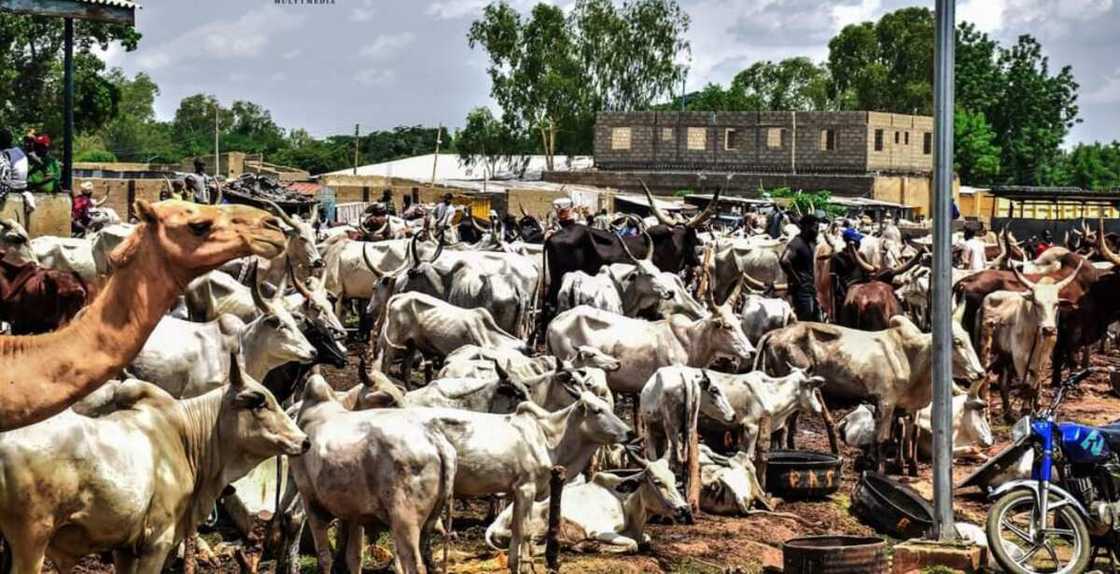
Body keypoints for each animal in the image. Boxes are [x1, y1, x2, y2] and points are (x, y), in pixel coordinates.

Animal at [0, 358, 306, 574]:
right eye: (261, 405)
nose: (304, 441)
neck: (187, 438)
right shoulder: (157, 540)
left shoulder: (124, 547)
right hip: (31, 544)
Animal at [483, 455, 689, 553]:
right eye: (657, 481)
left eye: (673, 479)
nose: (683, 509)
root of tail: (496, 523)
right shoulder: (600, 531)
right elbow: (632, 545)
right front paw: (592, 546)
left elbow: (646, 540)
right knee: (533, 547)